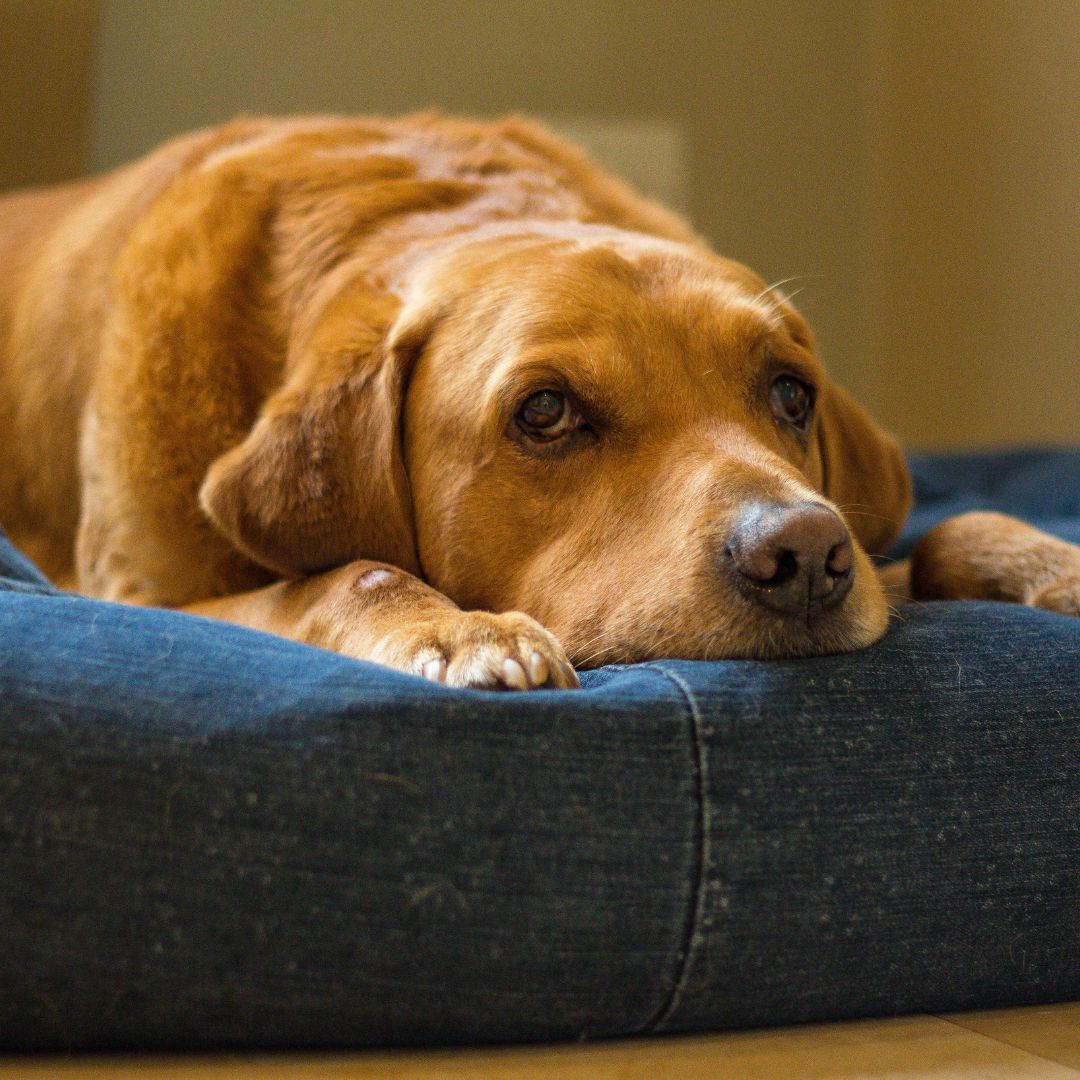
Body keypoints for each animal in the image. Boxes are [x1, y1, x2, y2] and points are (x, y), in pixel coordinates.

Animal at [2, 113, 1080, 686]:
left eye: (790, 393)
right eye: (547, 413)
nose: (807, 554)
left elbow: (952, 525)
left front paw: (1048, 563)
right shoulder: (149, 598)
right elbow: (348, 570)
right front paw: (462, 629)